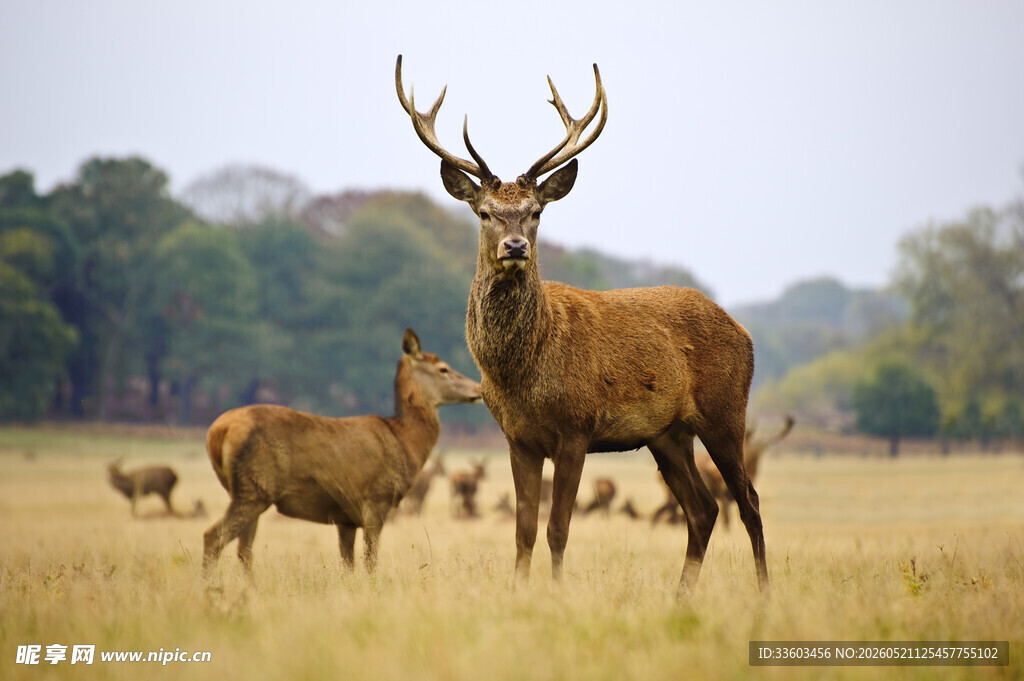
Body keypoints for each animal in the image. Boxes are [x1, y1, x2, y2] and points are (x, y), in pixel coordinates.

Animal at [201, 328, 481, 577]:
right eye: (443, 368)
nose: (478, 389)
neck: (405, 441)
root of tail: (217, 432)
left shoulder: (345, 517)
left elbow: (348, 565)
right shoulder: (375, 498)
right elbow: (370, 560)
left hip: (244, 491)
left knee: (243, 550)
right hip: (254, 487)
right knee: (213, 537)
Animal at [397, 56, 768, 595]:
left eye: (535, 212)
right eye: (484, 212)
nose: (515, 246)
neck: (522, 372)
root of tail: (744, 333)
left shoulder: (577, 429)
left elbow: (558, 528)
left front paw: (555, 593)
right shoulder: (518, 438)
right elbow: (524, 529)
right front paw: (519, 592)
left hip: (725, 410)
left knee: (749, 502)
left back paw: (764, 593)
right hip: (667, 434)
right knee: (703, 509)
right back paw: (681, 596)